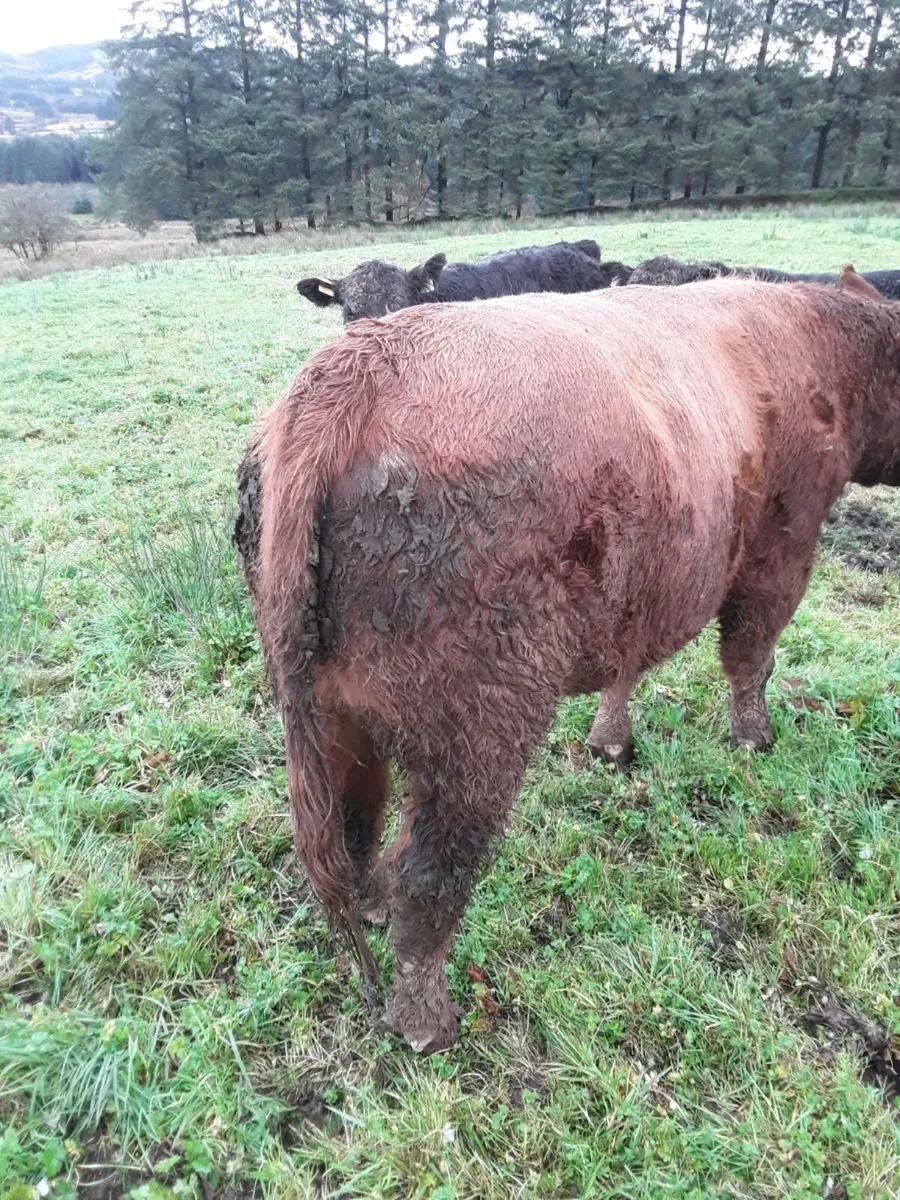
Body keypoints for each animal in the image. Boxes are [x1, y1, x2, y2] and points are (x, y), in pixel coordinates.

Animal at [235, 267, 900, 1055]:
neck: (817, 342)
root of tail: (353, 369)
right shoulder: (781, 549)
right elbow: (750, 657)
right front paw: (753, 739)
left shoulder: (646, 578)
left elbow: (628, 664)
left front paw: (611, 741)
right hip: (481, 731)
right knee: (430, 877)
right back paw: (427, 1023)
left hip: (331, 715)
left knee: (355, 836)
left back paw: (371, 912)